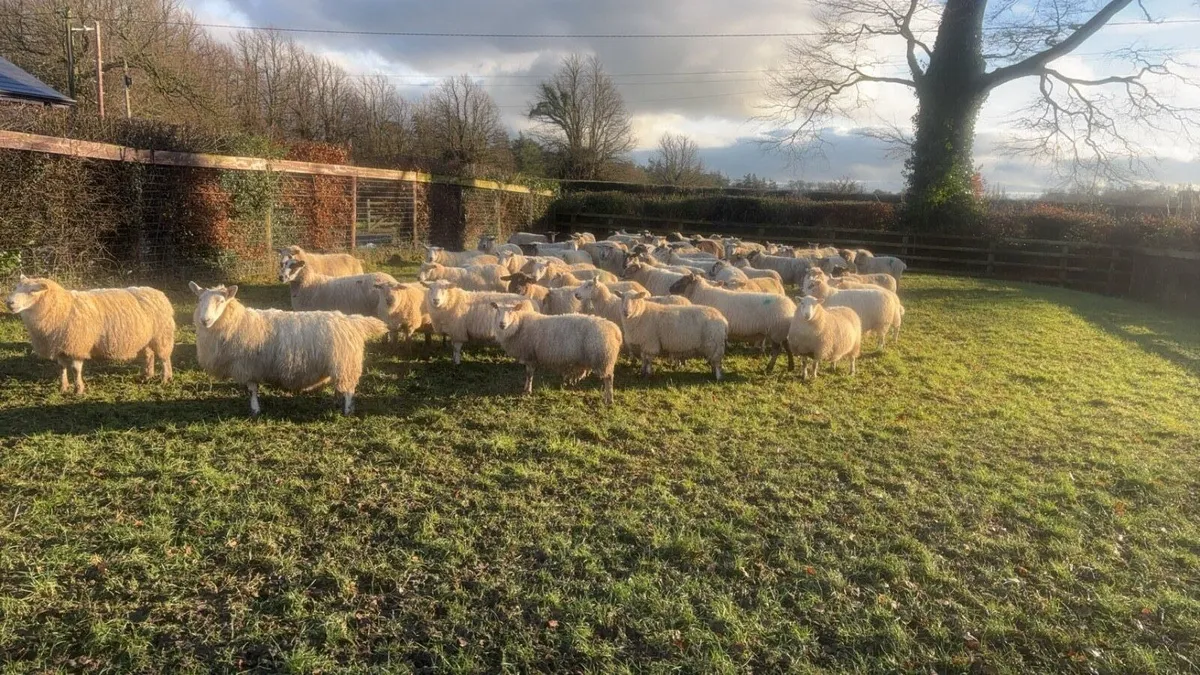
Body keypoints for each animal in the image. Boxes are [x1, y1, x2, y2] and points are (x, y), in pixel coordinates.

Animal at [6, 275, 175, 394]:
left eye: (33, 291)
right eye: (16, 287)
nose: (9, 303)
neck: (61, 308)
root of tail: (158, 293)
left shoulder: (77, 345)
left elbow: (75, 369)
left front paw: (78, 389)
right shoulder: (60, 346)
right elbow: (61, 368)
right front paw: (63, 387)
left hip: (162, 335)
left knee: (164, 358)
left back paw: (165, 378)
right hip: (146, 338)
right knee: (149, 355)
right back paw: (146, 376)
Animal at [190, 282, 386, 415]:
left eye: (221, 301)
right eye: (199, 299)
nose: (205, 320)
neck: (238, 322)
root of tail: (352, 321)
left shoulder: (249, 365)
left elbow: (252, 390)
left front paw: (255, 410)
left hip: (345, 362)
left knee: (349, 390)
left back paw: (346, 410)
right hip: (340, 364)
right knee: (341, 386)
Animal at [489, 301, 621, 405]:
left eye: (511, 312)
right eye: (497, 311)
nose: (502, 324)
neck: (519, 325)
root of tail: (615, 330)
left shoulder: (530, 356)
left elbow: (529, 374)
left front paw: (528, 391)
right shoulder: (530, 357)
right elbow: (528, 374)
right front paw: (526, 389)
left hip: (603, 358)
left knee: (609, 379)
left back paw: (609, 399)